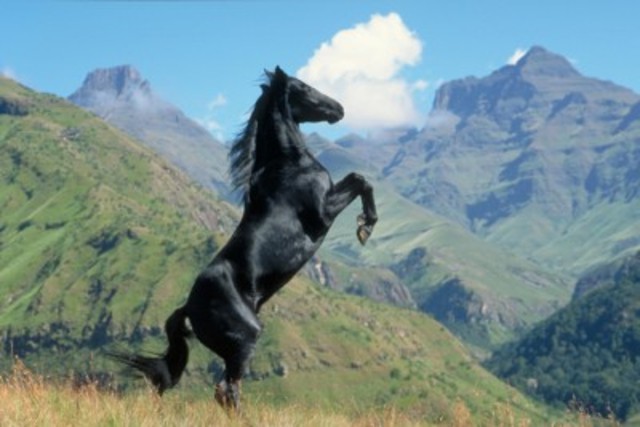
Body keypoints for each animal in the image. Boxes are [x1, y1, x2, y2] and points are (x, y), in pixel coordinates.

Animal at [108, 66, 378, 410]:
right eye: (303, 87)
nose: (339, 108)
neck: (288, 165)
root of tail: (189, 309)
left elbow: (359, 179)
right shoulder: (322, 214)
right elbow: (360, 179)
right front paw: (365, 227)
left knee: (225, 390)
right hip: (245, 340)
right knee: (227, 389)